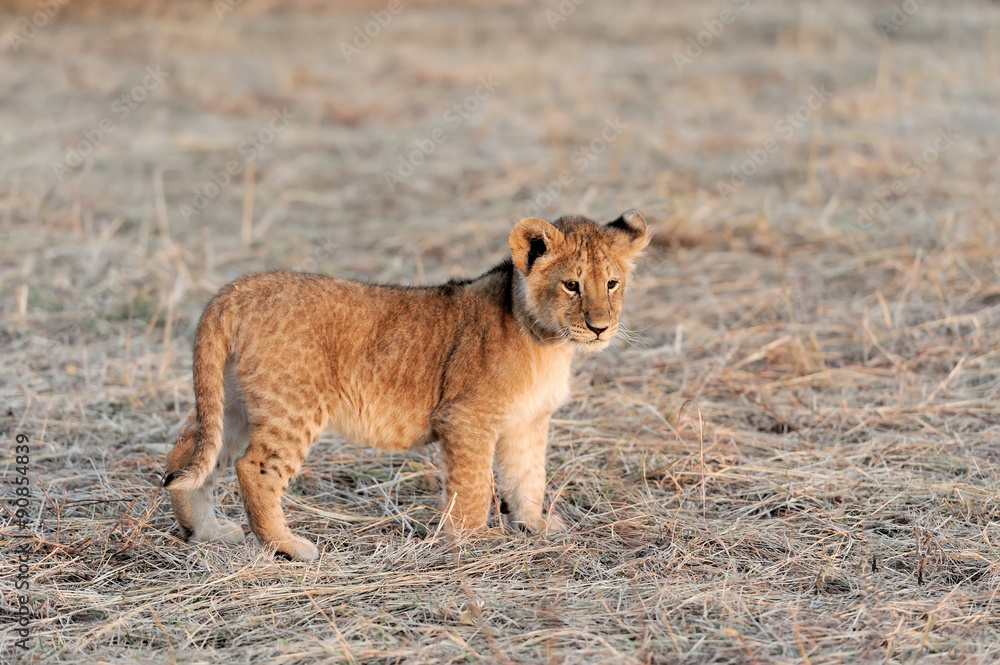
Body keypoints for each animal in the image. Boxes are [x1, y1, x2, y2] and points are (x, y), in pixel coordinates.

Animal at [163, 210, 649, 560]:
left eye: (611, 283)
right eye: (571, 285)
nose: (600, 328)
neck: (550, 341)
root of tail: (235, 290)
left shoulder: (527, 422)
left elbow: (528, 476)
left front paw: (535, 525)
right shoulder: (466, 418)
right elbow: (473, 486)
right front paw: (473, 542)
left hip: (234, 402)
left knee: (186, 454)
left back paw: (206, 533)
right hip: (293, 406)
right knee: (254, 469)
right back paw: (289, 548)